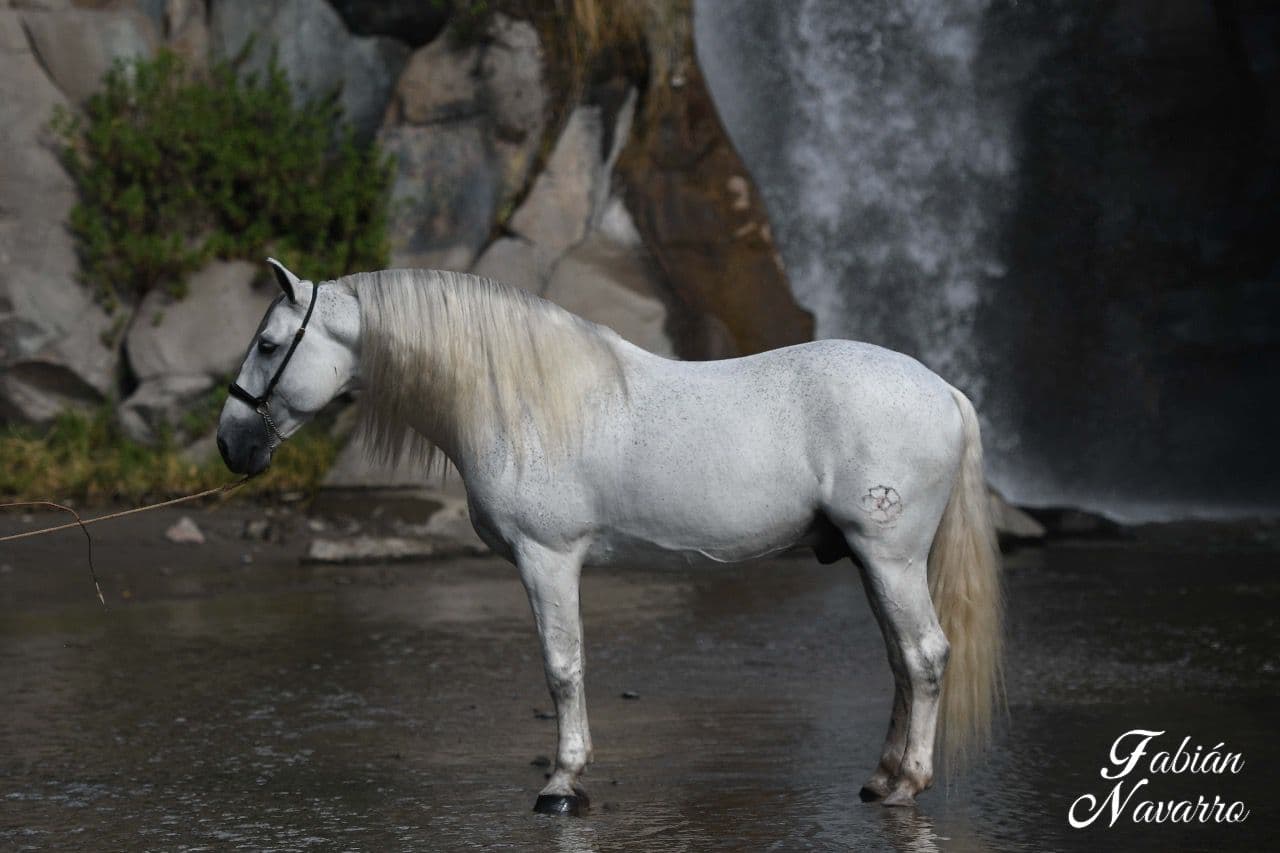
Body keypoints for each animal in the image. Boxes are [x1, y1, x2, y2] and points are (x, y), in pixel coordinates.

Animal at [218, 259, 1003, 815]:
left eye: (269, 343)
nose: (231, 444)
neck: (523, 403)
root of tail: (943, 389)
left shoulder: (547, 560)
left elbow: (563, 668)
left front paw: (562, 782)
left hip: (890, 557)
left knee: (925, 656)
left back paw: (907, 783)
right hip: (877, 563)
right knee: (901, 661)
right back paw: (880, 776)